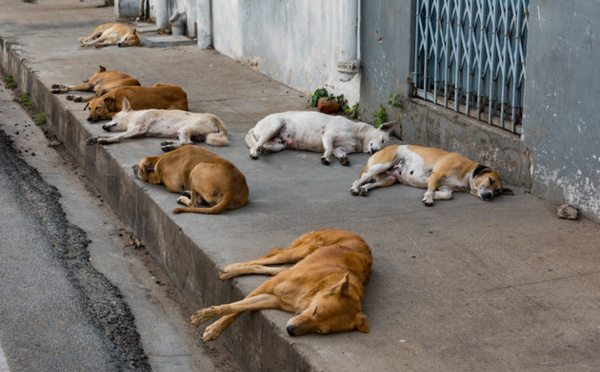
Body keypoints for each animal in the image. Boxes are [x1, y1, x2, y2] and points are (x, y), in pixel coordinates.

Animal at [87, 99, 230, 153]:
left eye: (113, 117)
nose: (103, 126)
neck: (132, 116)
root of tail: (215, 118)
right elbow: (115, 134)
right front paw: (96, 137)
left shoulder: (138, 129)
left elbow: (117, 136)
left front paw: (105, 140)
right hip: (184, 132)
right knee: (187, 141)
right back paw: (168, 143)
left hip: (184, 129)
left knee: (188, 143)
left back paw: (169, 147)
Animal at [191, 227, 370, 340]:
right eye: (315, 311)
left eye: (319, 330)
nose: (290, 331)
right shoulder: (268, 286)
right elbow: (232, 308)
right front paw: (209, 324)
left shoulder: (273, 299)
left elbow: (239, 308)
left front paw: (213, 326)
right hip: (299, 252)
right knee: (268, 257)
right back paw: (231, 269)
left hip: (292, 263)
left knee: (265, 267)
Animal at [244, 110, 394, 166]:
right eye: (382, 140)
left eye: (383, 147)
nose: (376, 151)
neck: (357, 135)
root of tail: (256, 126)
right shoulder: (328, 136)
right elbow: (328, 150)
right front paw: (326, 158)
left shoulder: (340, 148)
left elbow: (338, 152)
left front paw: (343, 159)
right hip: (273, 127)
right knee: (255, 145)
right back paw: (254, 153)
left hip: (279, 145)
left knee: (265, 145)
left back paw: (263, 150)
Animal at [350, 145, 512, 206]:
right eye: (490, 180)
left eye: (498, 191)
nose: (490, 196)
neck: (466, 172)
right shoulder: (437, 174)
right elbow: (431, 188)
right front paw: (429, 197)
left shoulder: (446, 188)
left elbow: (446, 195)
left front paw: (433, 195)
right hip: (381, 165)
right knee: (358, 179)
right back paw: (355, 188)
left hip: (388, 179)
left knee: (370, 183)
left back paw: (364, 189)